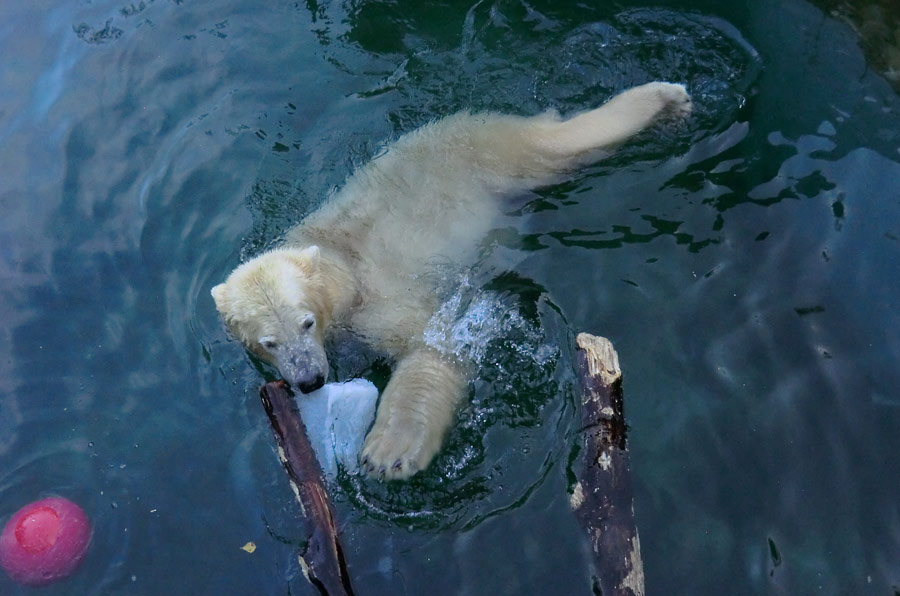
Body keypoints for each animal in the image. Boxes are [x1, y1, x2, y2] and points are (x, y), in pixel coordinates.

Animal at [214, 81, 692, 480]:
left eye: (306, 322)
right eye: (268, 342)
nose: (310, 380)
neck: (338, 260)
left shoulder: (377, 298)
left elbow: (435, 343)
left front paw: (389, 452)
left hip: (498, 158)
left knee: (566, 144)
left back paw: (665, 99)